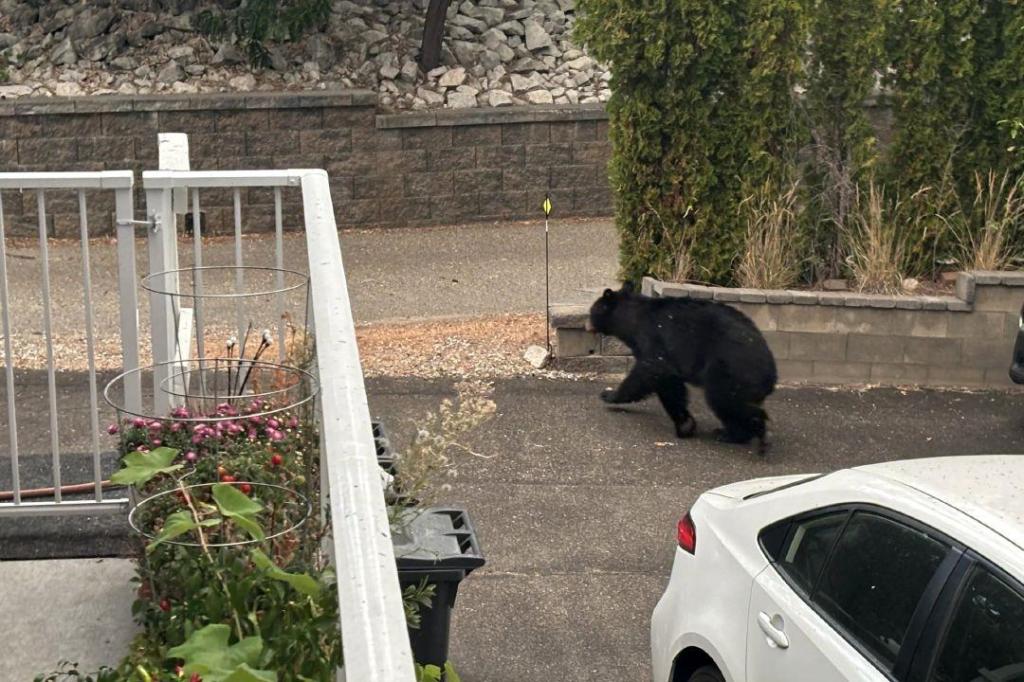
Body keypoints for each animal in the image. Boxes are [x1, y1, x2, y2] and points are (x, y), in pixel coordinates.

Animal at [587, 282, 777, 454]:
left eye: (591, 311)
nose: (586, 325)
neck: (632, 320)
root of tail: (771, 375)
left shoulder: (653, 338)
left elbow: (653, 370)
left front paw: (609, 394)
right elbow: (672, 383)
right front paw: (686, 423)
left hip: (729, 369)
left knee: (724, 399)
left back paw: (747, 433)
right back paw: (731, 433)